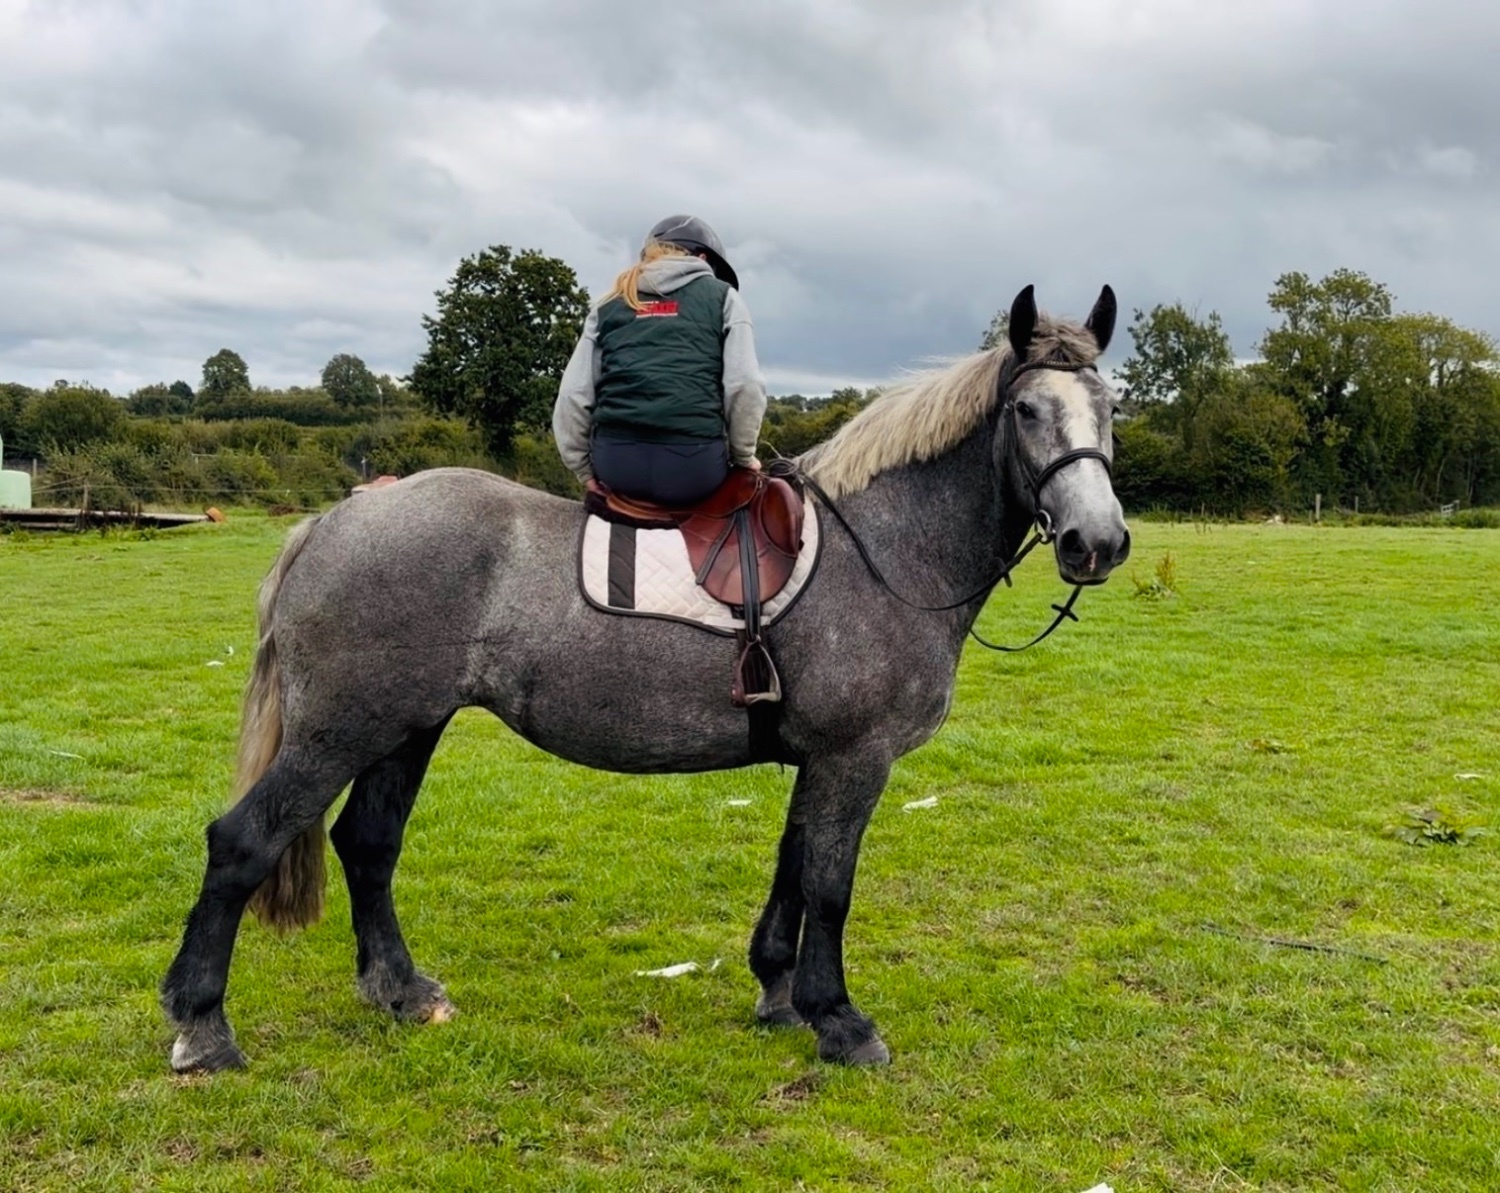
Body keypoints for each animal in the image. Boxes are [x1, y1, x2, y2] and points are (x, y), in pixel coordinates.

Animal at [161, 283, 1132, 1072]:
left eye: (1110, 406)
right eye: (1027, 410)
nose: (1100, 541)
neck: (883, 547)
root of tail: (337, 518)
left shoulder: (817, 760)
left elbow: (792, 867)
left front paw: (779, 994)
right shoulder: (855, 759)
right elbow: (829, 884)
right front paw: (840, 1020)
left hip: (407, 726)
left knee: (367, 844)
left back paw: (400, 990)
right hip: (342, 730)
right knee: (242, 841)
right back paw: (203, 1025)